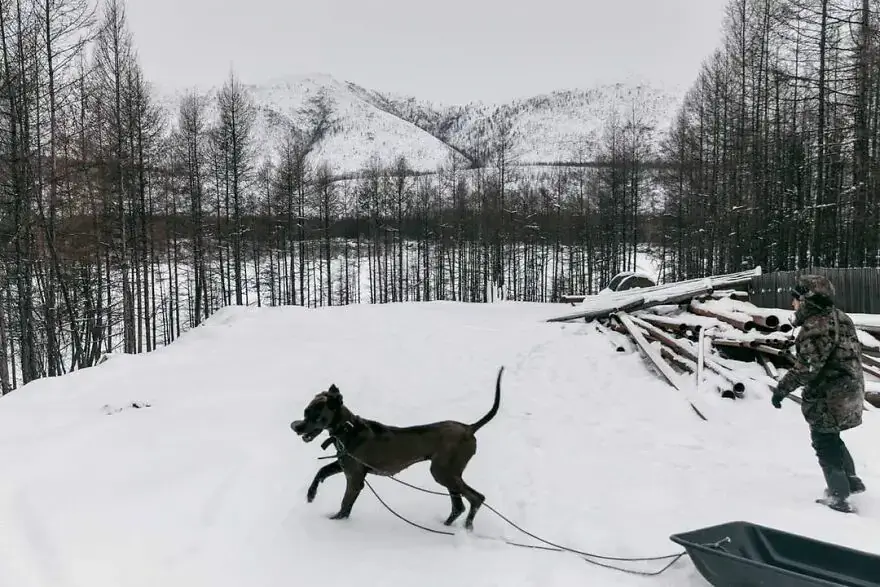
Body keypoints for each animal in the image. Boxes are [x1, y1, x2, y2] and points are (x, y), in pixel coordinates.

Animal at [292, 366, 506, 532]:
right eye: (305, 412)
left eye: (315, 416)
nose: (295, 426)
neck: (347, 429)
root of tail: (469, 428)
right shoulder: (344, 464)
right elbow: (321, 471)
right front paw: (311, 495)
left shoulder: (354, 478)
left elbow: (345, 504)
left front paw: (336, 524)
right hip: (448, 474)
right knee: (458, 506)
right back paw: (445, 526)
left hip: (443, 472)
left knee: (476, 498)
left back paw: (467, 528)